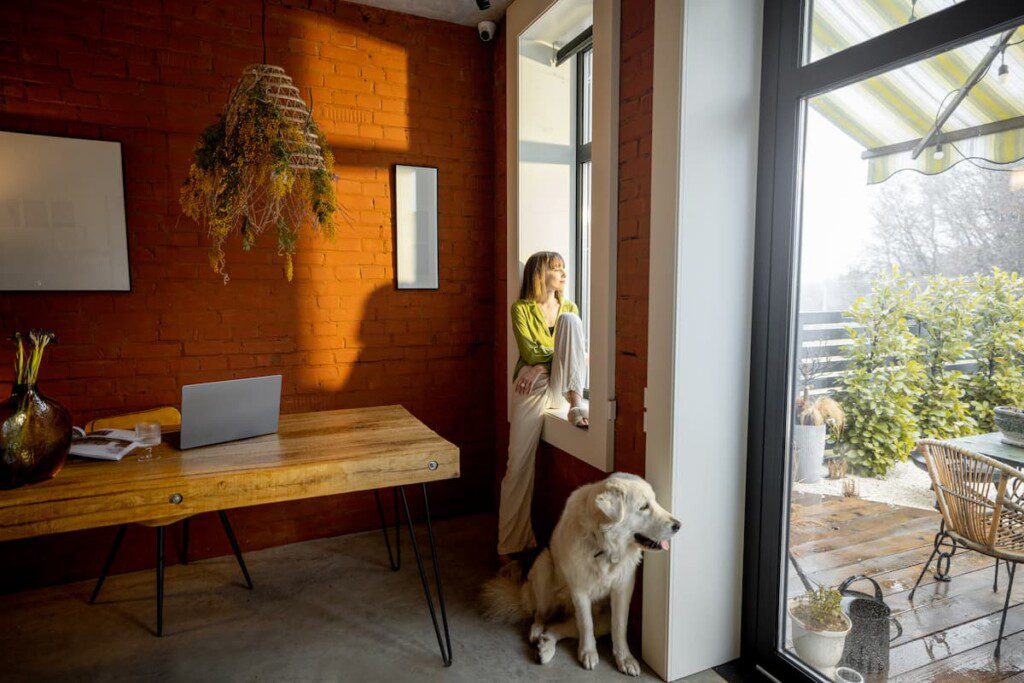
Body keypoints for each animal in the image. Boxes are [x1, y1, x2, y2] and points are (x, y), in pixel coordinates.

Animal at [481, 473, 679, 675]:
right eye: (644, 507)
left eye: (655, 501)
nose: (678, 525)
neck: (604, 546)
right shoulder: (579, 590)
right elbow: (586, 623)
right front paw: (589, 653)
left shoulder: (623, 589)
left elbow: (619, 626)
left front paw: (625, 658)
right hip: (544, 566)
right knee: (541, 615)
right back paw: (536, 632)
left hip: (602, 619)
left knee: (556, 628)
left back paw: (545, 646)